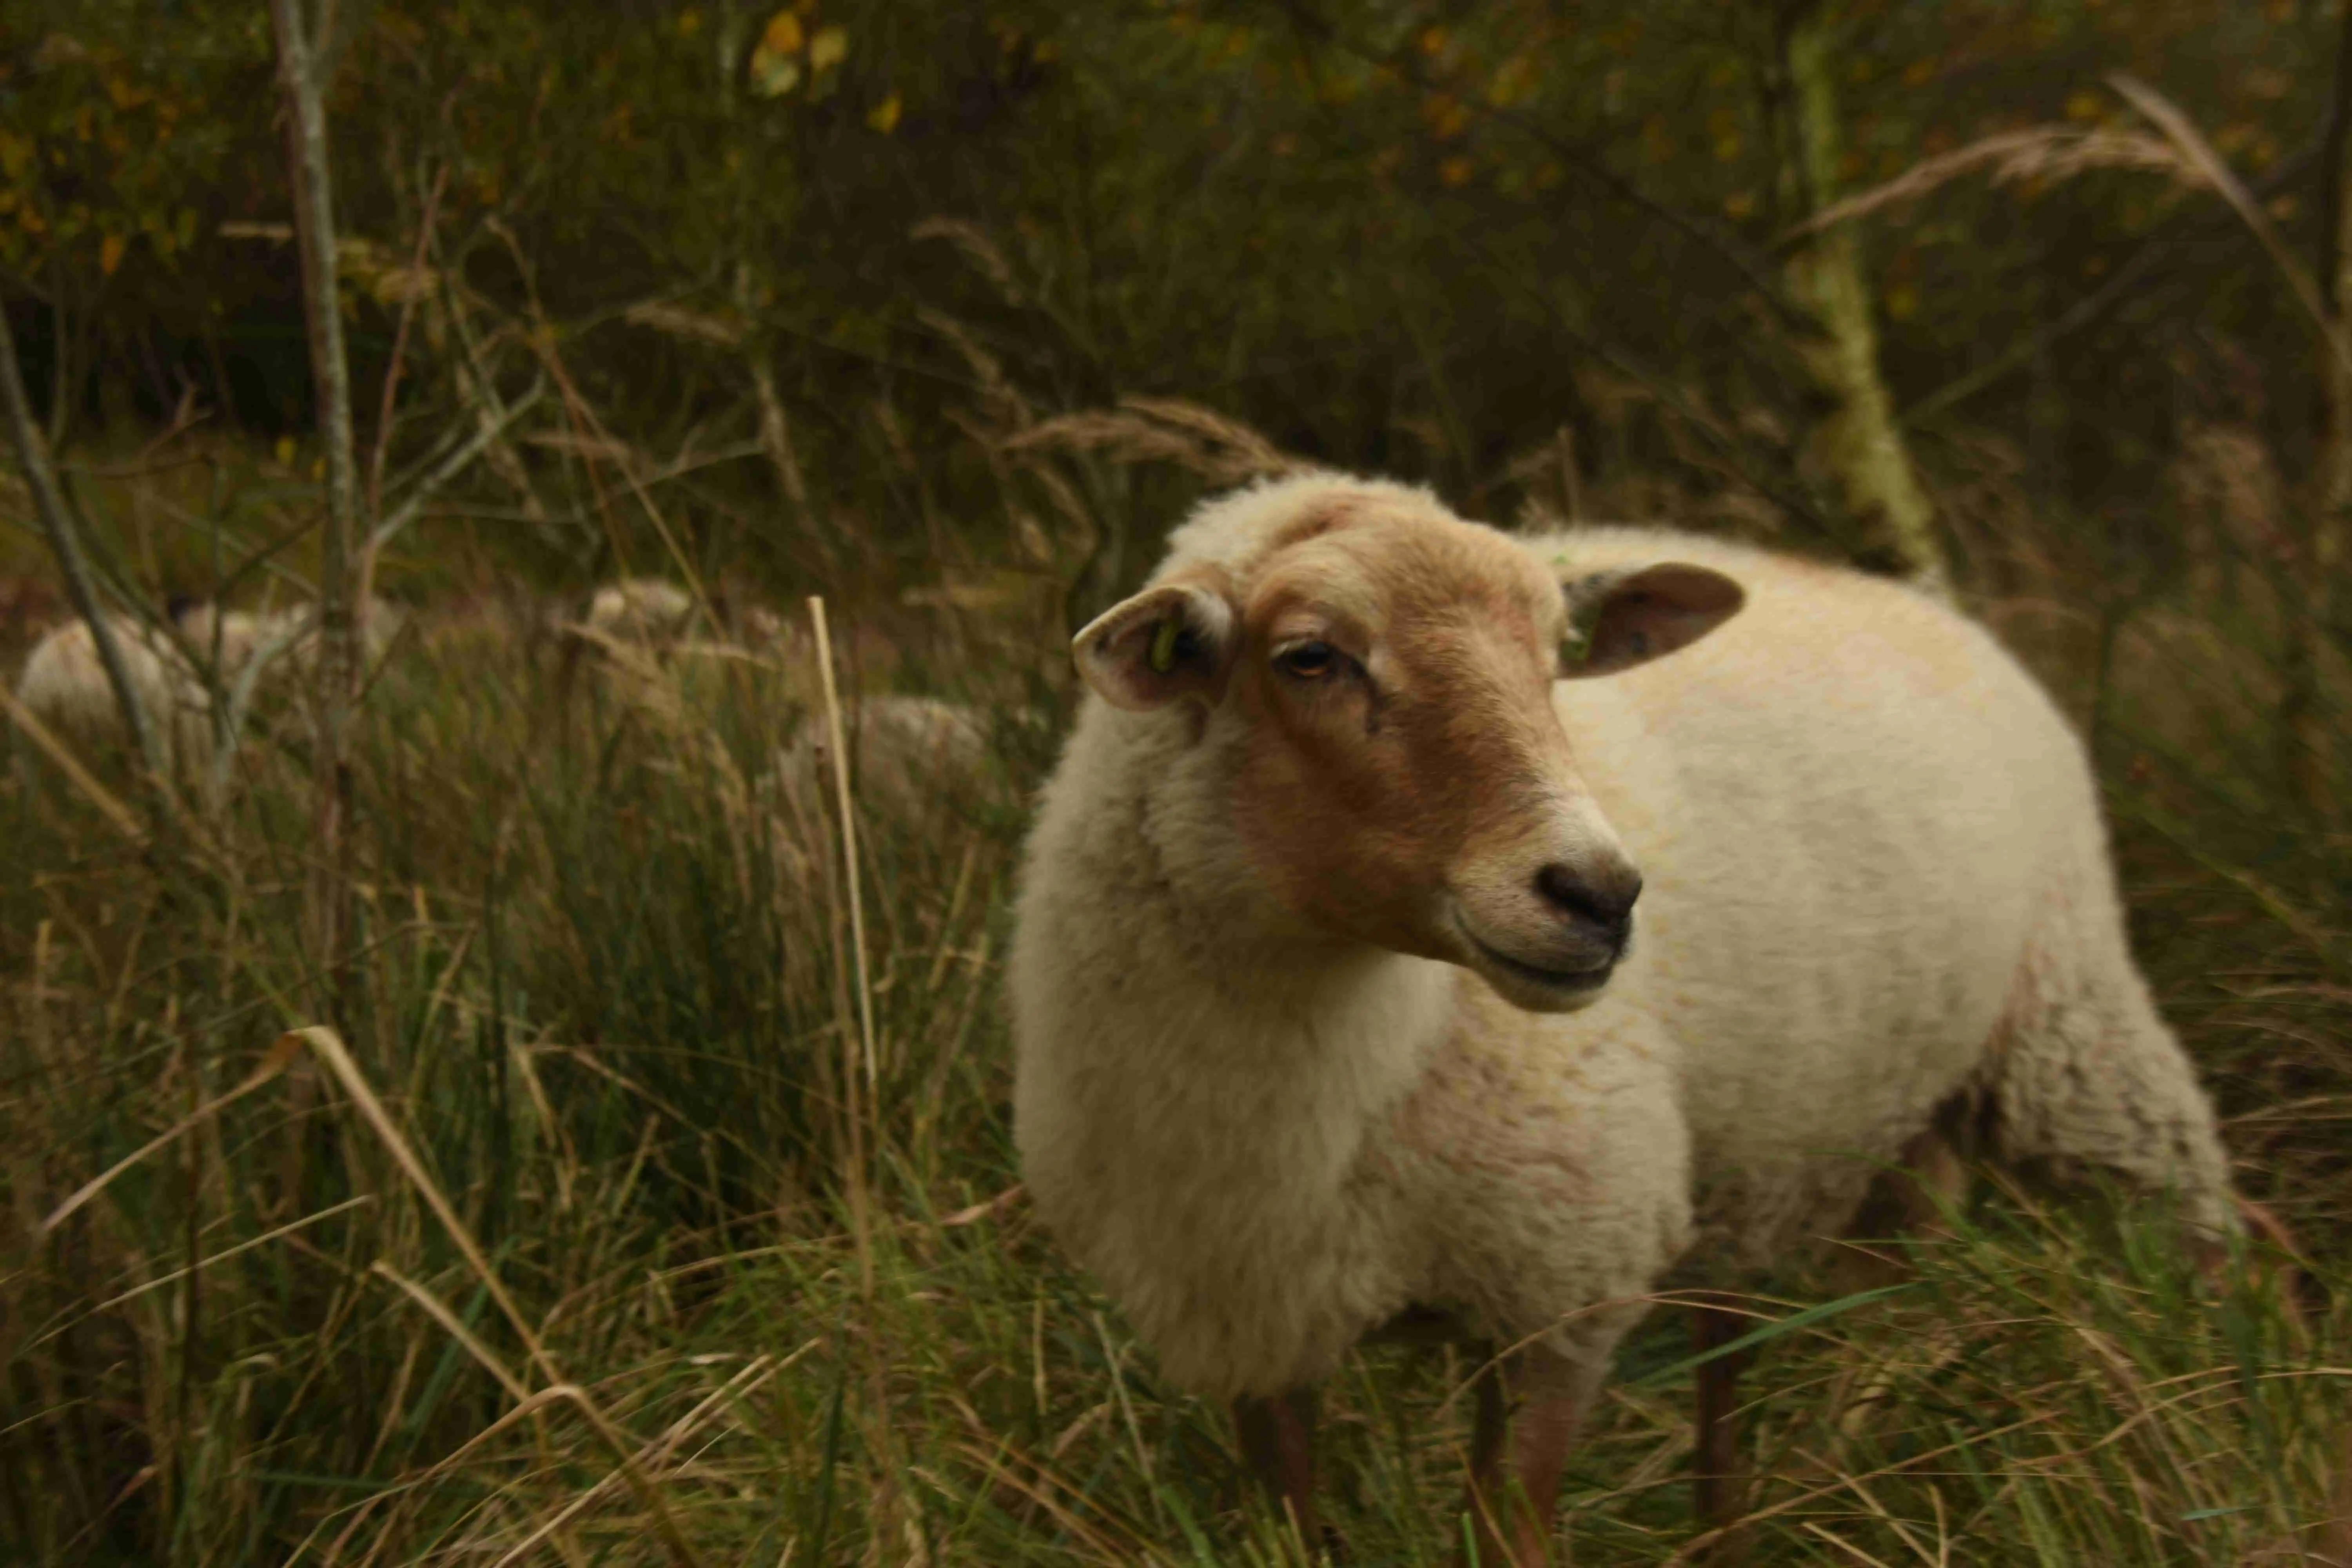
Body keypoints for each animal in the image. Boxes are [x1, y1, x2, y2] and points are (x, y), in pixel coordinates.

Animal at [1008, 471, 2252, 1565]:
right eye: (1309, 657)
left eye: (1558, 656)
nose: (1601, 895)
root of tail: (1913, 595)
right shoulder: (1253, 1326)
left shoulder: (1563, 1283)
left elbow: (1509, 1537)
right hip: (1816, 1145)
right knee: (1748, 1355)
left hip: (2075, 1025)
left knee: (2193, 1213)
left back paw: (2227, 1397)